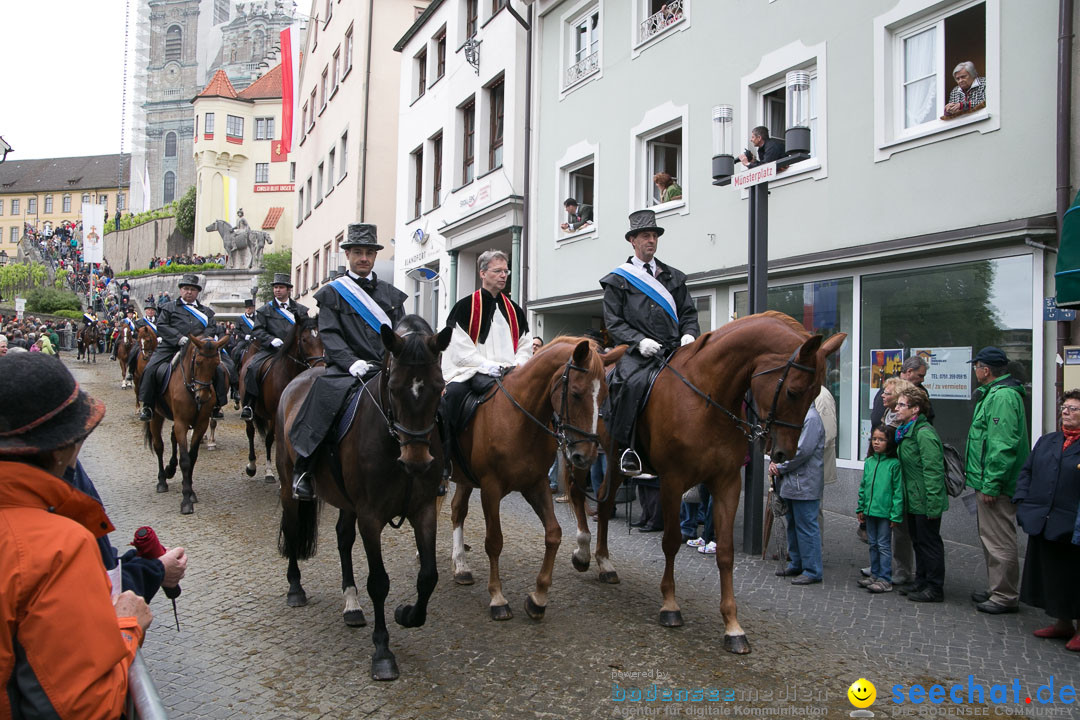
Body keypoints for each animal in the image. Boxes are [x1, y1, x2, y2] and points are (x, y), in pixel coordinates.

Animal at [143, 334, 227, 515]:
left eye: (216, 363)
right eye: (198, 362)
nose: (203, 397)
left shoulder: (201, 424)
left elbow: (192, 457)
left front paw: (190, 491)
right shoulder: (181, 423)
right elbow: (185, 460)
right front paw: (186, 500)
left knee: (172, 438)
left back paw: (171, 469)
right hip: (156, 416)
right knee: (159, 446)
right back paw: (162, 480)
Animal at [243, 317, 326, 481]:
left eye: (321, 338)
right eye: (304, 340)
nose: (321, 365)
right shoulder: (275, 414)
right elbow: (270, 439)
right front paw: (269, 472)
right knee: (250, 432)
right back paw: (251, 466)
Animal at [276, 315, 453, 682]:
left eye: (440, 386)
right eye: (394, 387)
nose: (417, 462)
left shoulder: (423, 510)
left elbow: (428, 576)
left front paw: (407, 614)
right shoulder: (371, 517)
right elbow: (379, 582)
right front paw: (383, 652)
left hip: (347, 503)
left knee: (343, 538)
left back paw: (352, 605)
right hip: (289, 487)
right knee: (293, 528)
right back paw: (295, 589)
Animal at [447, 338, 609, 626]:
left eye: (603, 397)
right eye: (576, 393)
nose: (586, 456)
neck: (519, 418)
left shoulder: (536, 484)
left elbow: (554, 534)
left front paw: (538, 598)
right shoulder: (491, 489)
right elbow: (494, 541)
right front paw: (497, 598)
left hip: (465, 479)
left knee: (457, 510)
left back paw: (461, 566)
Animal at [565, 313, 842, 656]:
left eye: (816, 394)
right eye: (793, 391)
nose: (782, 453)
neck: (707, 397)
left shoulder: (726, 483)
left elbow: (725, 552)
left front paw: (733, 626)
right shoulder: (673, 481)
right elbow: (671, 541)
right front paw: (670, 605)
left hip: (612, 464)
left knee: (603, 503)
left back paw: (605, 564)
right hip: (589, 453)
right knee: (582, 496)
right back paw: (584, 553)